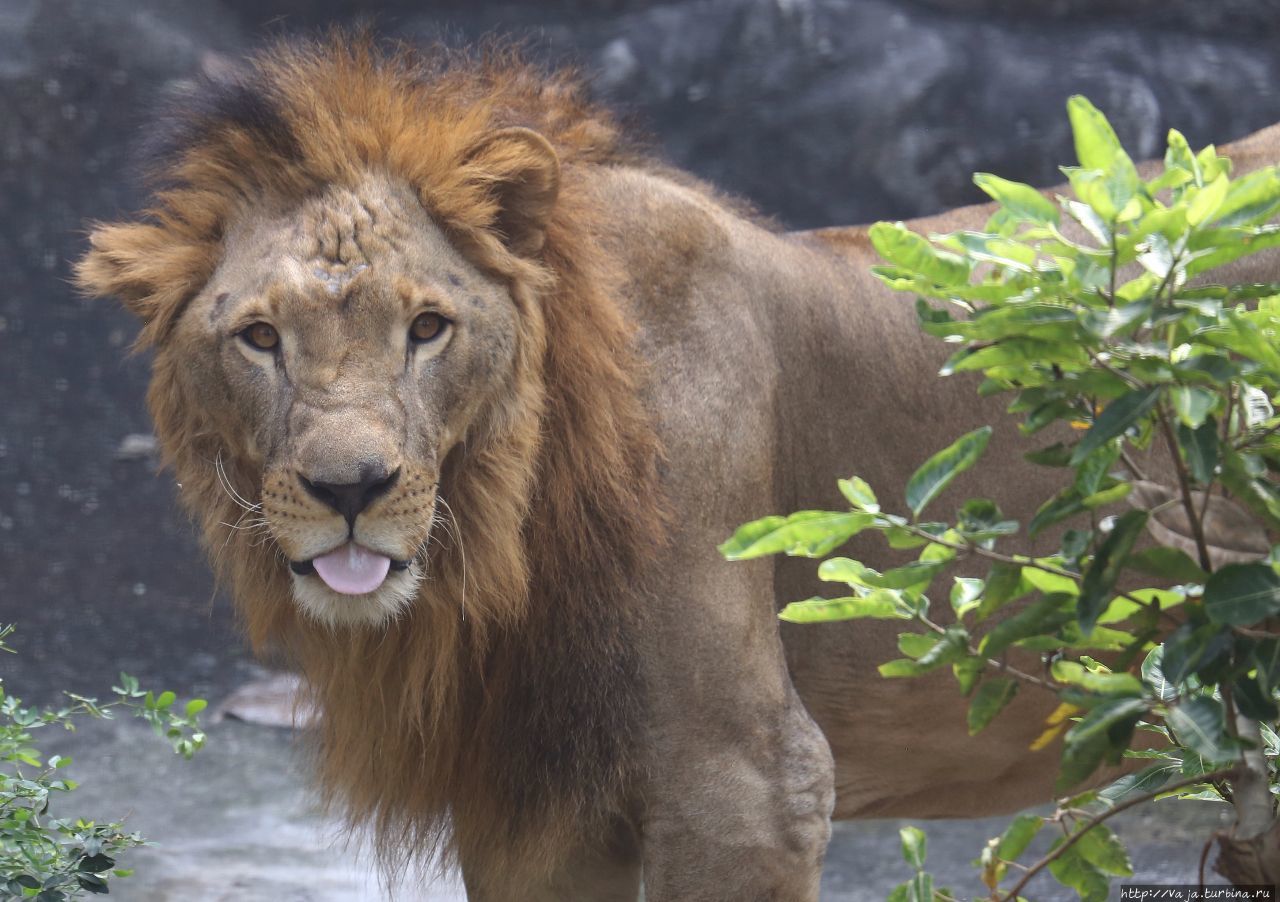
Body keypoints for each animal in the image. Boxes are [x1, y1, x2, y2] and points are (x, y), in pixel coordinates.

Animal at [74, 33, 1280, 900]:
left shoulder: (747, 787)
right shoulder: (532, 808)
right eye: (259, 338)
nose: (350, 490)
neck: (503, 543)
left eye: (426, 328)